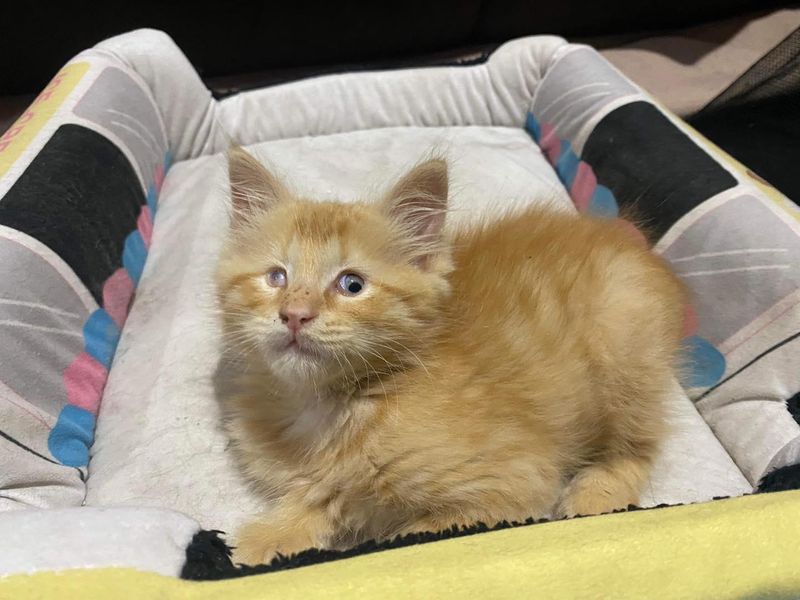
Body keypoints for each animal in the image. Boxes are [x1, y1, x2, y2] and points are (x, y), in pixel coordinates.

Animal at [217, 145, 688, 564]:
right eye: (276, 277)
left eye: (352, 285)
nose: (295, 315)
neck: (334, 405)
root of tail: (629, 239)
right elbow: (317, 500)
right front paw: (263, 545)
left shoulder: (516, 481)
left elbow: (410, 536)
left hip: (625, 350)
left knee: (641, 444)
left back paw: (596, 495)